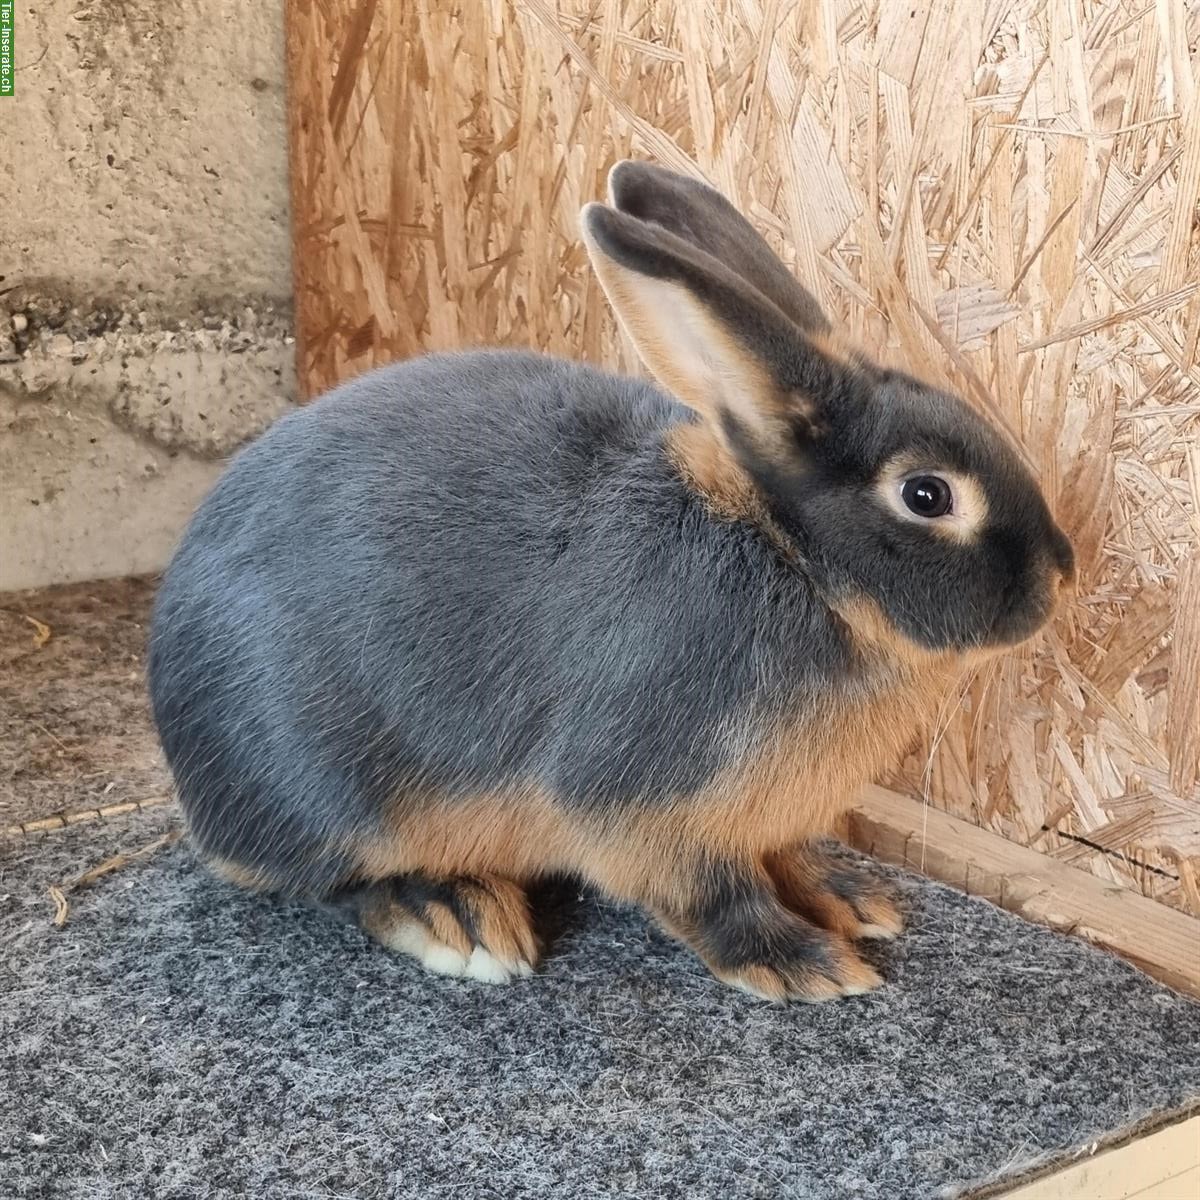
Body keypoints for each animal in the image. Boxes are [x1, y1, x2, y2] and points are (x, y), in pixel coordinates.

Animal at [145, 162, 1075, 1003]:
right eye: (927, 495)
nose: (1059, 574)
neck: (794, 557)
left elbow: (783, 853)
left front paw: (850, 897)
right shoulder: (644, 797)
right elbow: (709, 891)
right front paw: (801, 962)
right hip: (328, 793)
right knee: (332, 880)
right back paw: (457, 911)